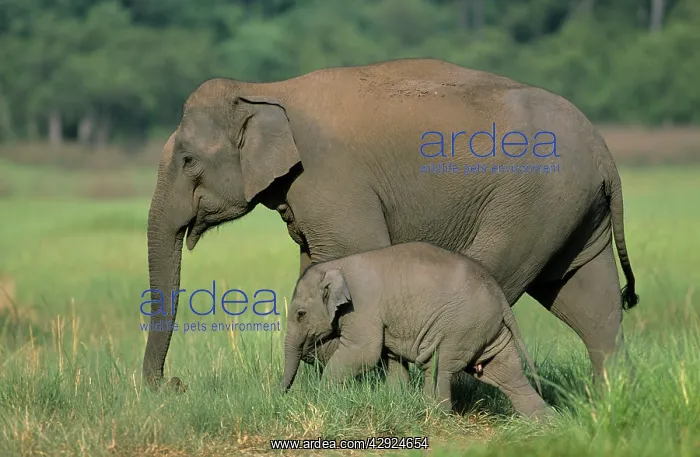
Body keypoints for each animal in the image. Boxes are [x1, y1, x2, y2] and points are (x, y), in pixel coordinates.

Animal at [141, 57, 638, 391]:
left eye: (188, 160)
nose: (174, 385)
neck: (263, 88)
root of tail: (606, 155)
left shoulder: (330, 180)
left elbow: (354, 252)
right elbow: (314, 266)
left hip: (531, 203)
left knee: (496, 277)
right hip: (573, 212)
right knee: (591, 302)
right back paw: (606, 399)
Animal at [280, 242, 553, 420]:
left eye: (300, 314)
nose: (281, 396)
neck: (336, 265)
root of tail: (500, 295)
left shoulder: (363, 308)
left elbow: (364, 352)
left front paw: (321, 397)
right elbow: (391, 358)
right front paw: (396, 398)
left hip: (461, 327)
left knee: (439, 365)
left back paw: (435, 414)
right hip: (487, 329)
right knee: (507, 373)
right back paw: (544, 423)